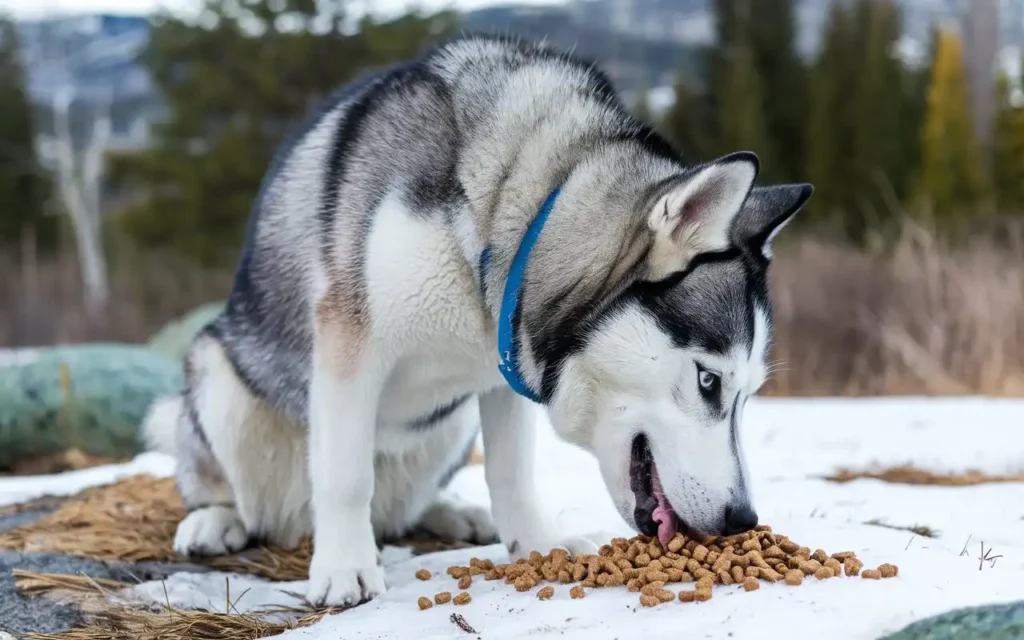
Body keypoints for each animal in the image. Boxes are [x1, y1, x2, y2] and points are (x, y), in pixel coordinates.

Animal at [144, 33, 811, 602]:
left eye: (749, 393)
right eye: (708, 380)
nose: (742, 519)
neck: (503, 214)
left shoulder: (502, 364)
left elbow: (512, 470)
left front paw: (537, 545)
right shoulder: (348, 341)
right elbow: (345, 476)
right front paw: (344, 570)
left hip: (448, 421)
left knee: (401, 508)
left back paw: (454, 514)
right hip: (215, 379)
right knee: (235, 488)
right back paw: (216, 520)